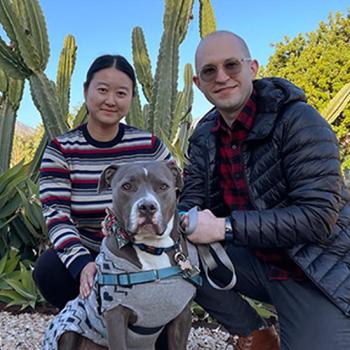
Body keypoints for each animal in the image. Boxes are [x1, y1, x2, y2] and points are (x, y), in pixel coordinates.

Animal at [41, 160, 200, 350]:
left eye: (163, 186)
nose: (147, 206)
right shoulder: (116, 314)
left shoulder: (182, 316)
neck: (153, 248)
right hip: (67, 326)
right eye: (127, 186)